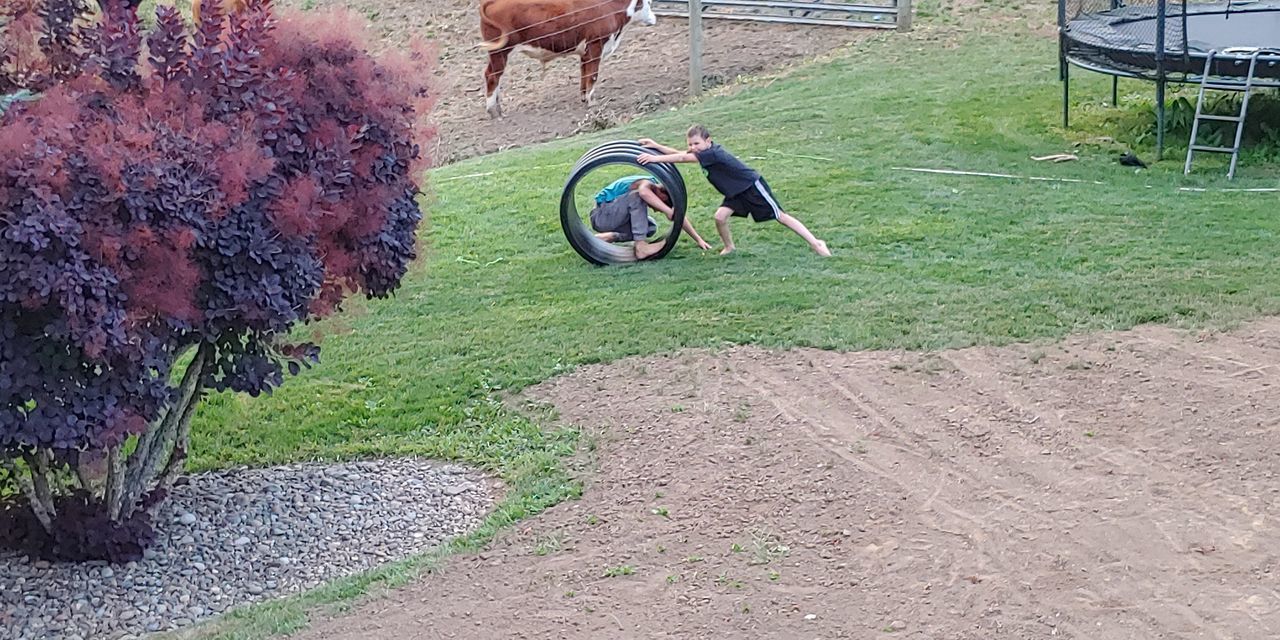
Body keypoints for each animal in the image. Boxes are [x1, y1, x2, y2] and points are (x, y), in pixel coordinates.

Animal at [481, 0, 660, 117]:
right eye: (648, 3)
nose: (655, 18)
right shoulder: (596, 46)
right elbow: (593, 75)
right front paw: (592, 102)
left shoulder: (586, 53)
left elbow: (584, 75)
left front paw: (584, 98)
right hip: (500, 52)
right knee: (492, 76)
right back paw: (493, 111)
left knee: (495, 77)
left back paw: (499, 108)